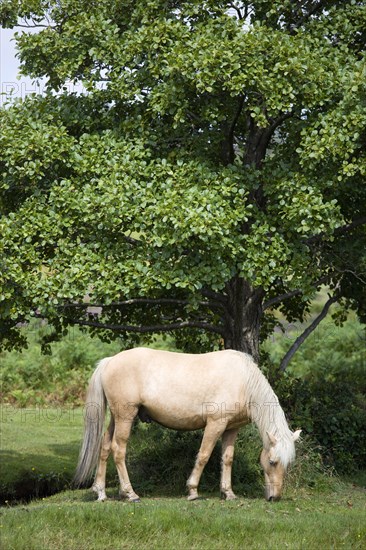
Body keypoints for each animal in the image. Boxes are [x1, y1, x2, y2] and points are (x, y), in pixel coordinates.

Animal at [73, 352, 300, 502]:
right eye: (271, 462)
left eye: (287, 463)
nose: (275, 497)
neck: (244, 381)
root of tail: (110, 361)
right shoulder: (215, 424)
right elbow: (204, 455)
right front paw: (192, 491)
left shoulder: (230, 428)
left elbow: (227, 459)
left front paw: (228, 493)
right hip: (125, 417)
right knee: (118, 450)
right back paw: (130, 494)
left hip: (117, 418)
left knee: (104, 447)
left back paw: (101, 492)